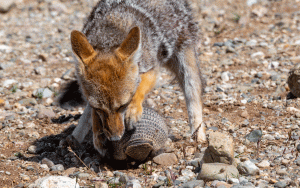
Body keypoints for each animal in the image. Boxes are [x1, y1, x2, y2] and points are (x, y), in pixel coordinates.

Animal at [59, 0, 207, 156]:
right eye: (99, 108)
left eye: (123, 106)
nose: (115, 138)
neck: (109, 34)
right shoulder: (93, 102)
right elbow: (92, 112)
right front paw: (97, 133)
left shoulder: (152, 68)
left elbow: (139, 87)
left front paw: (133, 109)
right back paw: (74, 139)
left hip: (186, 67)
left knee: (194, 101)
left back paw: (198, 135)